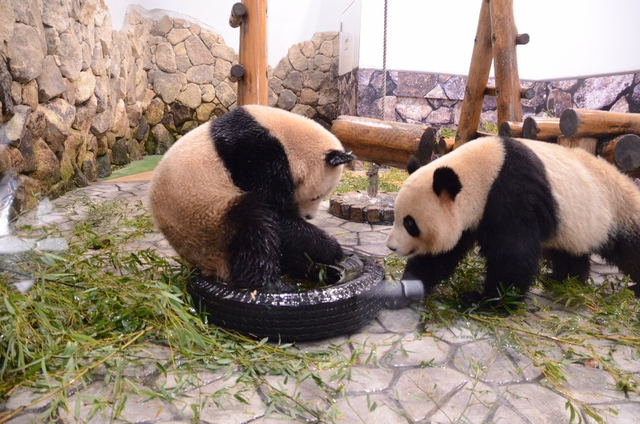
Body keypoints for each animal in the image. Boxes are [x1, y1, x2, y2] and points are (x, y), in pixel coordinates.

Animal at [150, 105, 356, 292]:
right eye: (317, 196)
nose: (309, 217)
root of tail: (207, 267)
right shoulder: (255, 156)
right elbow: (277, 215)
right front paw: (333, 249)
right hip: (211, 223)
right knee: (254, 228)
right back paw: (271, 284)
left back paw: (304, 269)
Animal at [384, 134, 640, 304]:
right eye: (396, 217)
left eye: (410, 224)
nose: (391, 247)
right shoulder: (470, 216)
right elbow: (441, 255)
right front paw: (407, 286)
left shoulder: (511, 193)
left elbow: (513, 252)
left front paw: (486, 300)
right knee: (569, 253)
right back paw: (562, 280)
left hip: (617, 210)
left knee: (629, 249)